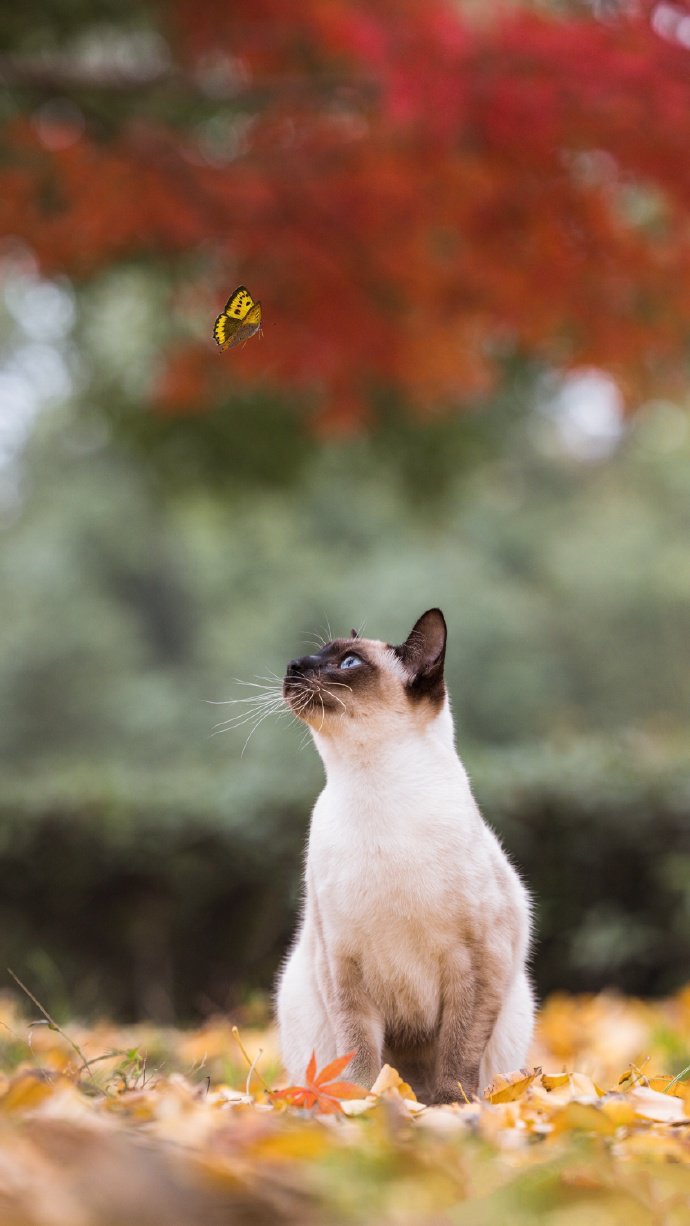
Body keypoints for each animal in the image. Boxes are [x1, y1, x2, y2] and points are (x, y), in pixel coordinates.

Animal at [276, 610, 534, 1103]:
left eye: (349, 662)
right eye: (316, 654)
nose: (292, 666)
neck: (374, 789)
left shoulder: (478, 962)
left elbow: (458, 1053)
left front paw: (450, 1107)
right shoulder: (342, 966)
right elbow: (357, 1055)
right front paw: (359, 1103)